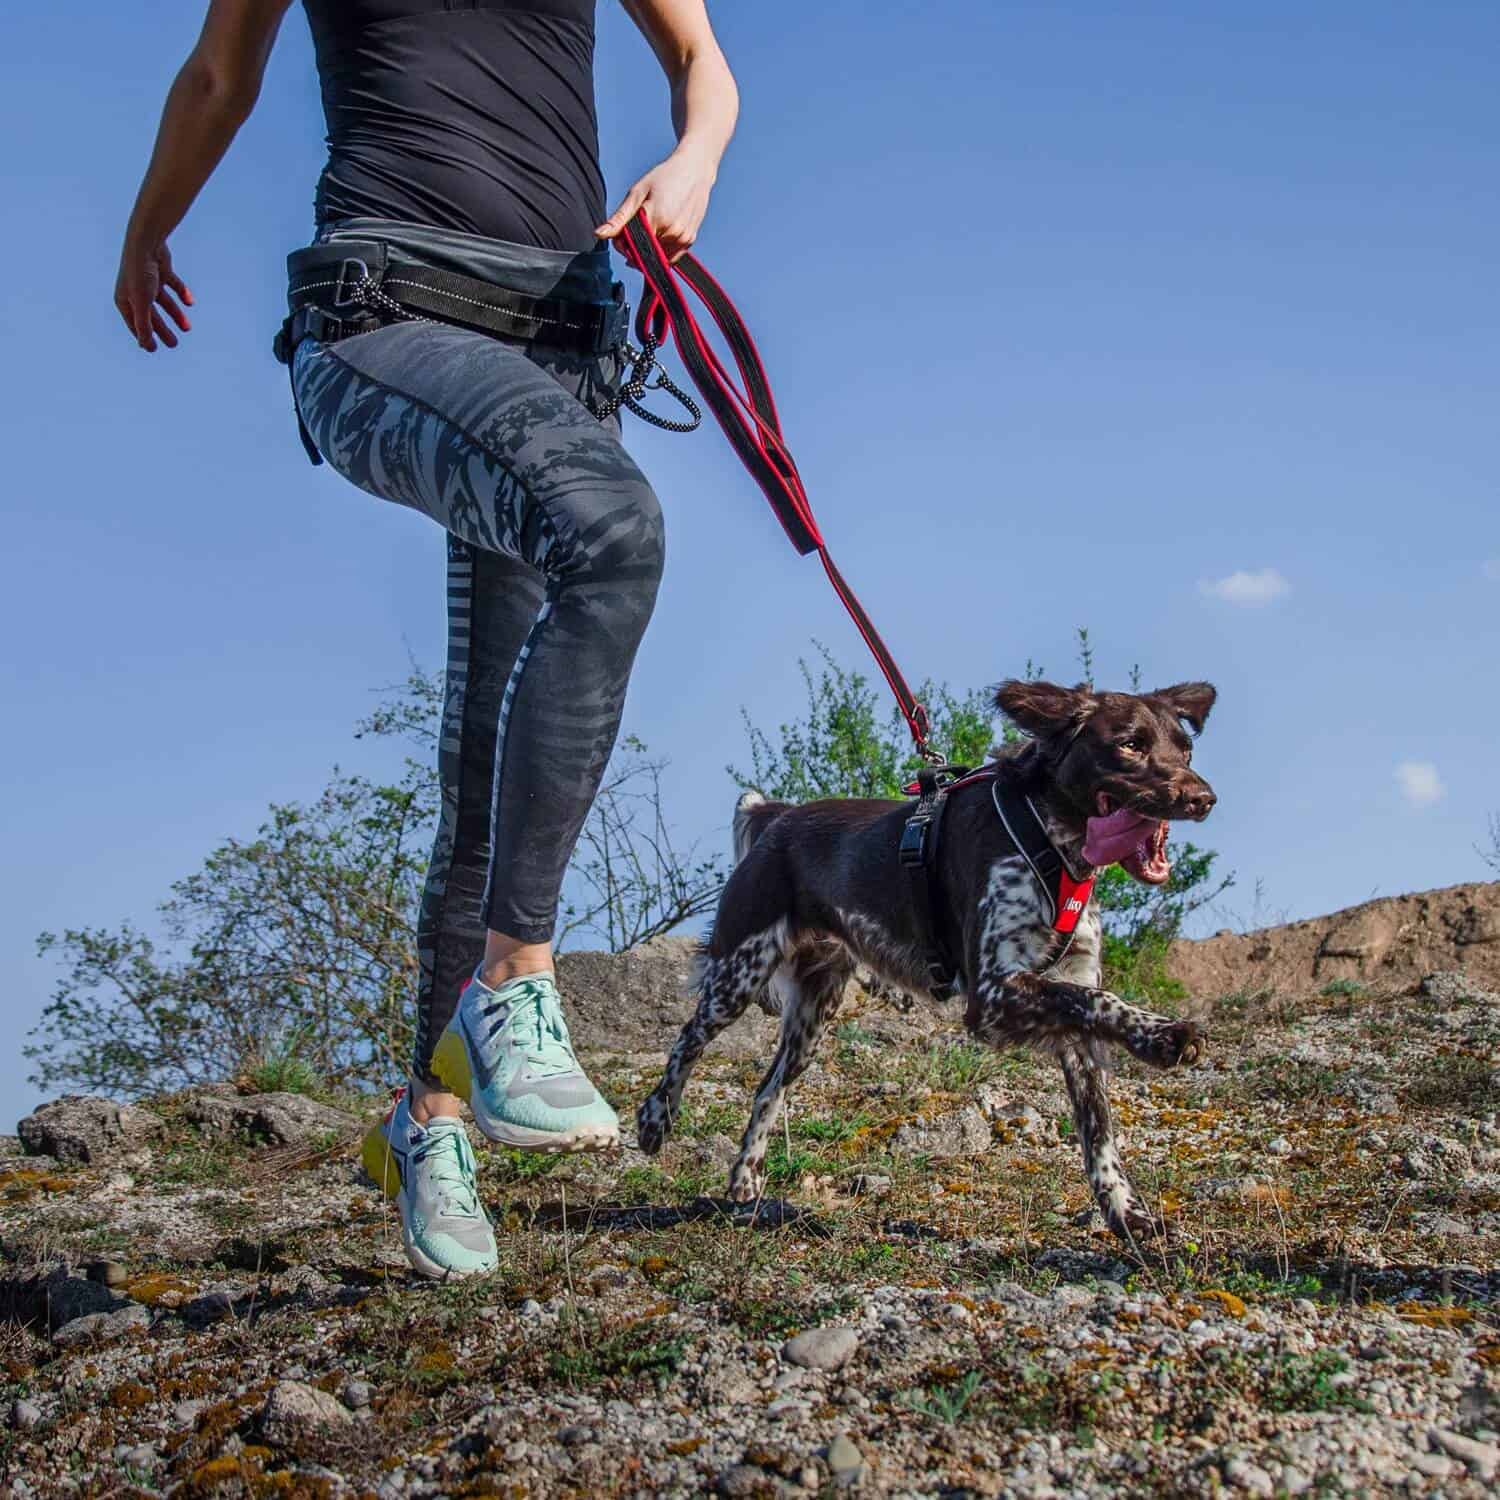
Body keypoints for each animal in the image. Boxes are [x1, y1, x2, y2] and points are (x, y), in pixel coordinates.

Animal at [633, 681, 1218, 1242]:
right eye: (1129, 743)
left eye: (1185, 748)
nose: (1203, 798)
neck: (1047, 835)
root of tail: (776, 817)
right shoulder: (993, 996)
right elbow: (1098, 1001)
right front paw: (1166, 1036)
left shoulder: (1066, 999)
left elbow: (1099, 1127)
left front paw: (1127, 1215)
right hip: (740, 969)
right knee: (688, 1038)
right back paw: (655, 1119)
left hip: (814, 1013)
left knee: (768, 1088)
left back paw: (745, 1179)